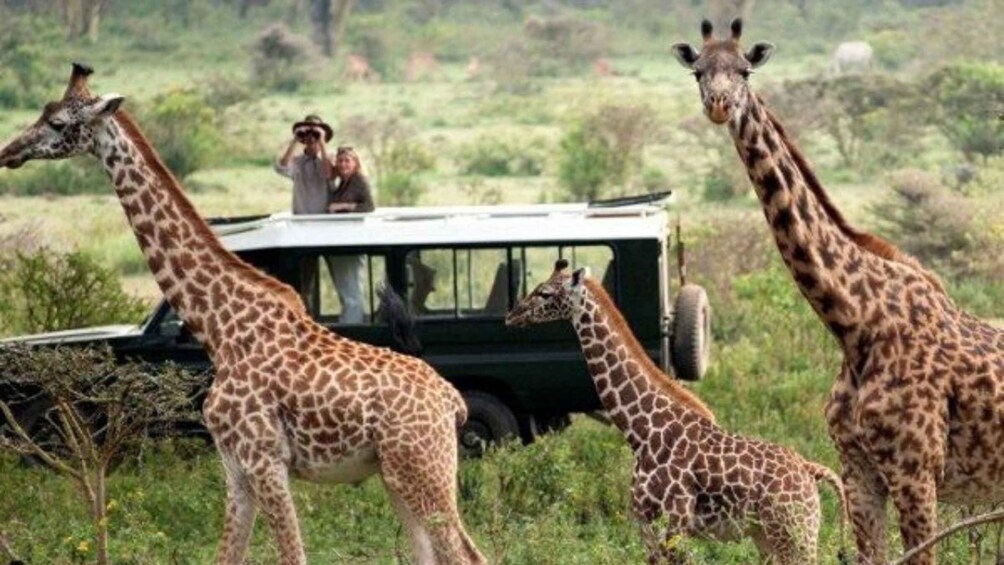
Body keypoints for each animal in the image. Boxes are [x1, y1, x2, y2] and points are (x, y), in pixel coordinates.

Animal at [0, 63, 487, 565]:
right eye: (45, 111)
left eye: (58, 123)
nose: (8, 151)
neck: (220, 328)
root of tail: (452, 400)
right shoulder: (233, 465)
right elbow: (227, 554)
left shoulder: (264, 458)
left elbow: (293, 556)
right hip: (397, 473)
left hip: (422, 466)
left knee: (468, 554)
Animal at [506, 260, 848, 564]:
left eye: (545, 293)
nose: (512, 315)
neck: (641, 432)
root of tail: (810, 470)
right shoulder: (645, 526)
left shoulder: (675, 525)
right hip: (766, 537)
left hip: (795, 534)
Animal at [672, 19, 1004, 565]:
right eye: (698, 71)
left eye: (745, 70)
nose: (719, 105)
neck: (854, 322)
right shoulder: (857, 470)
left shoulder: (916, 472)